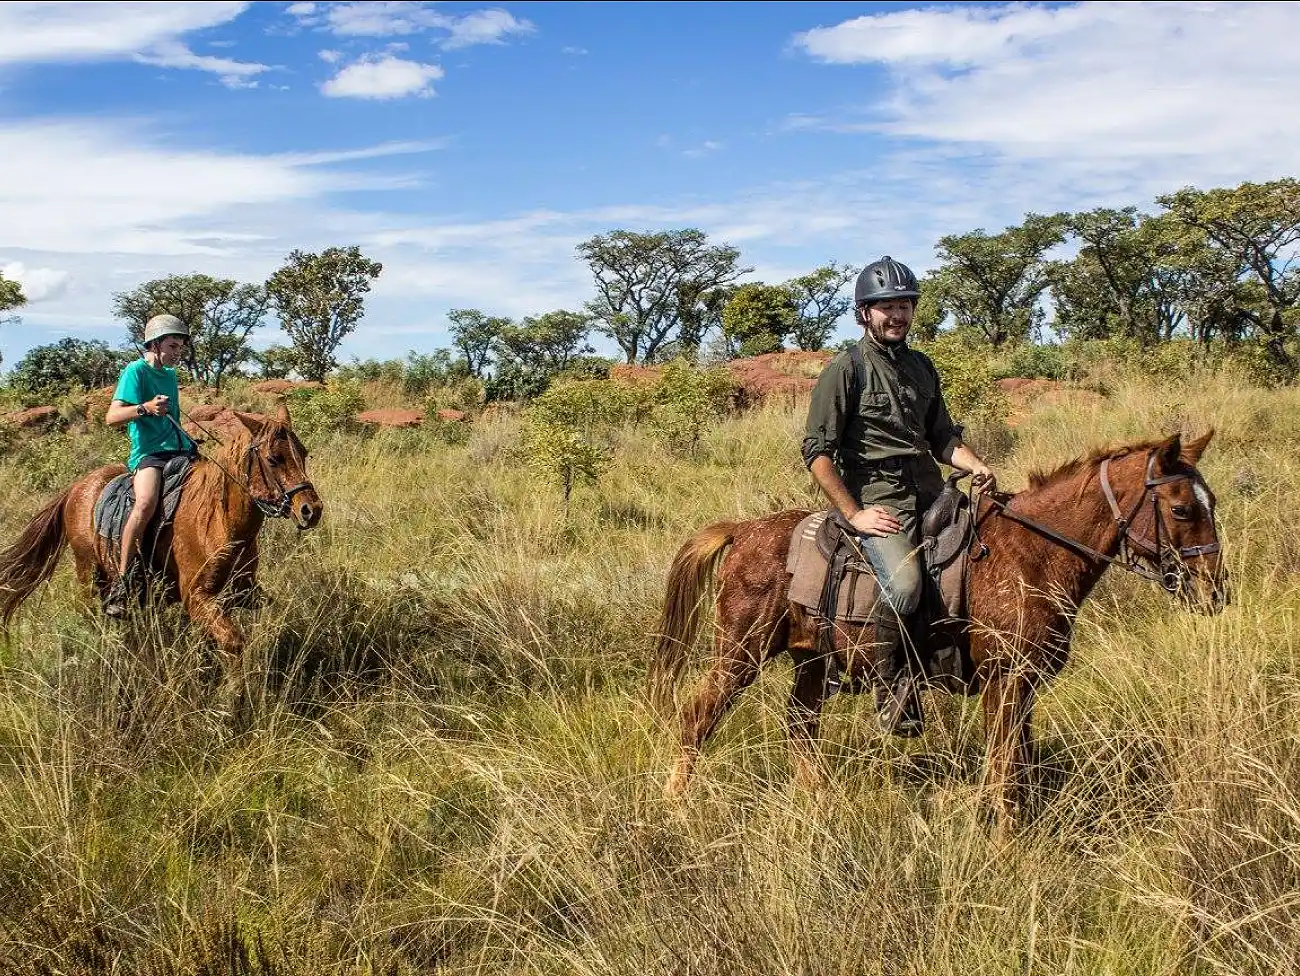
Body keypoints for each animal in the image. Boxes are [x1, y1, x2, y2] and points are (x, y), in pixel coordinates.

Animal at [0, 403, 323, 708]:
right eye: (273, 459)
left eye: (304, 453)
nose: (311, 510)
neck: (219, 520)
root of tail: (75, 488)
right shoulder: (197, 598)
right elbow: (234, 642)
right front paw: (231, 697)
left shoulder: (235, 595)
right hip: (88, 572)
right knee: (89, 616)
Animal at [651, 431, 1228, 832]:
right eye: (1181, 508)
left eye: (1213, 503)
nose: (1214, 590)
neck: (1032, 554)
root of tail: (742, 531)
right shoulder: (1004, 680)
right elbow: (1005, 769)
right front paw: (1007, 844)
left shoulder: (1024, 687)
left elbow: (1018, 763)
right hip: (739, 653)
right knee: (698, 717)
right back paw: (676, 808)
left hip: (811, 660)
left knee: (800, 725)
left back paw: (817, 805)